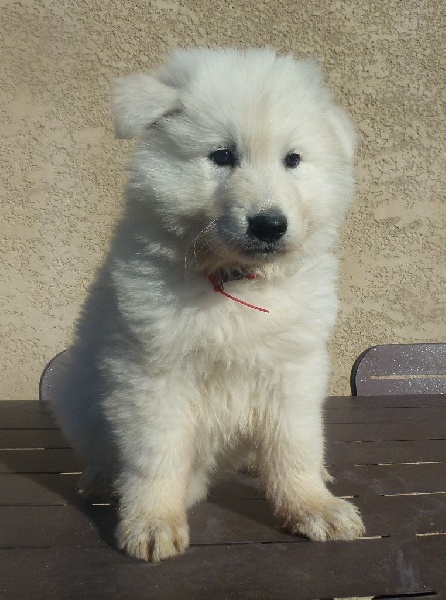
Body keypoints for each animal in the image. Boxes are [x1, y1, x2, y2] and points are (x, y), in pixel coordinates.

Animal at [51, 47, 365, 561]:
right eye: (222, 156)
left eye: (293, 160)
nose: (269, 224)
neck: (235, 281)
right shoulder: (152, 372)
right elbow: (157, 455)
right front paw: (153, 521)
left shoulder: (294, 368)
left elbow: (294, 446)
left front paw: (313, 506)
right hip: (74, 388)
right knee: (99, 449)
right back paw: (103, 480)